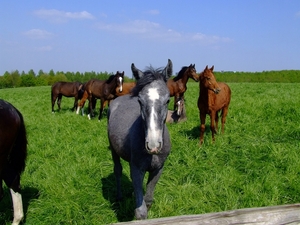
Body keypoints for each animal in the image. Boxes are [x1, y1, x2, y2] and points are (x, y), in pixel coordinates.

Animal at [107, 59, 173, 219]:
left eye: (168, 100)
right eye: (140, 101)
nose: (153, 145)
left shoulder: (158, 169)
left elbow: (148, 200)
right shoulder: (136, 169)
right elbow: (140, 211)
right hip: (113, 150)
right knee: (117, 170)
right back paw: (119, 197)